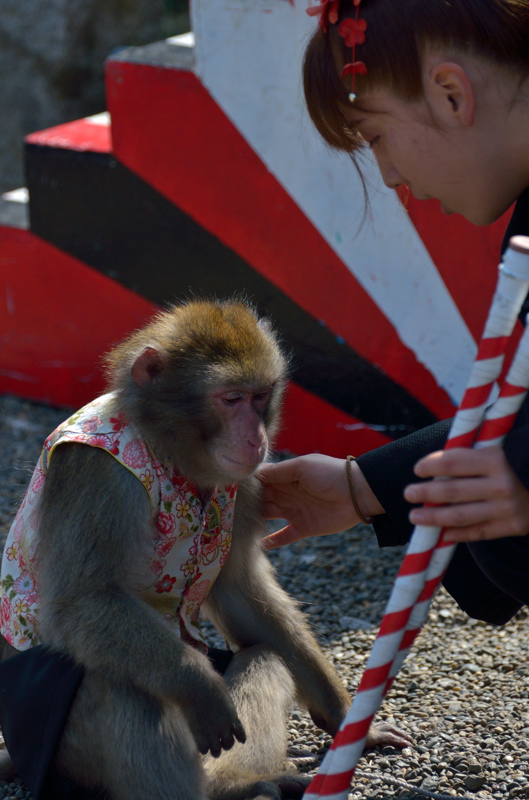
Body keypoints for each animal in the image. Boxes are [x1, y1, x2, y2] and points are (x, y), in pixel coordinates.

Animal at [0, 300, 410, 800]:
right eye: (230, 399)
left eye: (260, 397)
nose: (256, 438)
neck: (167, 447)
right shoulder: (99, 475)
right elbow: (85, 601)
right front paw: (197, 687)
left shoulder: (246, 482)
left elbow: (242, 594)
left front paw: (348, 721)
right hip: (58, 751)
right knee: (123, 682)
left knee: (264, 657)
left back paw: (235, 783)